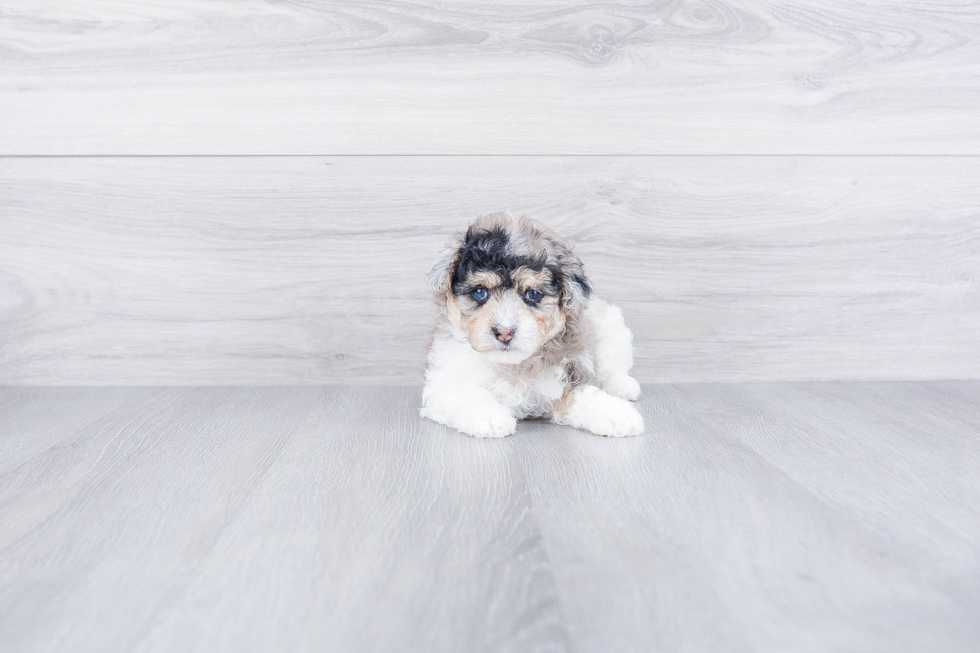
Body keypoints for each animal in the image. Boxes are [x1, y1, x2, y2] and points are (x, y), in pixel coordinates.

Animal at [420, 213, 644, 438]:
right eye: (480, 292)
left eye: (533, 294)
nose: (504, 332)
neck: (512, 365)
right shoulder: (444, 380)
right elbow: (464, 392)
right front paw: (489, 417)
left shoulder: (566, 378)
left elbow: (583, 396)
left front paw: (617, 414)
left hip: (612, 329)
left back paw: (623, 386)